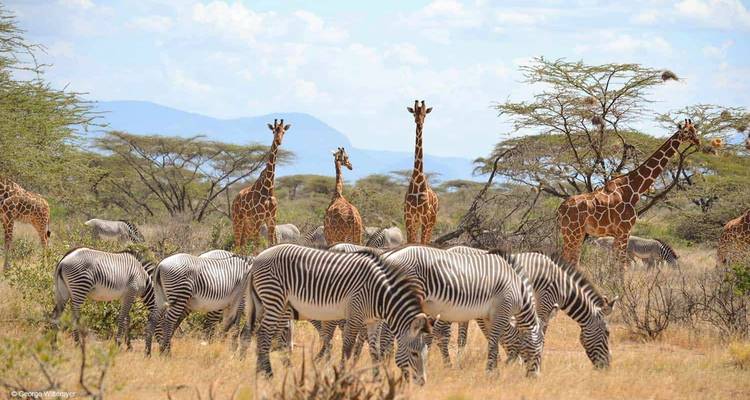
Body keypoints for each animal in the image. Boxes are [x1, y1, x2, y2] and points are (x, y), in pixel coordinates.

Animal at [238, 244, 432, 384]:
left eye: (426, 354)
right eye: (414, 354)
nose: (422, 383)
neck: (379, 294)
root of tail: (257, 259)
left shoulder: (373, 321)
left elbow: (375, 351)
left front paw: (377, 380)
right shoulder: (355, 315)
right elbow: (347, 348)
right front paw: (343, 377)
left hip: (267, 304)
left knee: (258, 334)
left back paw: (259, 372)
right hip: (274, 299)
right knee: (264, 335)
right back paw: (269, 375)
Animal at [380, 245, 545, 376]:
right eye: (540, 350)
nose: (534, 377)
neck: (519, 290)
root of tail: (389, 254)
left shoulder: (489, 316)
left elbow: (494, 341)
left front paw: (495, 369)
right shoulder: (502, 311)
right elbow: (494, 342)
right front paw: (491, 373)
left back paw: (384, 362)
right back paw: (386, 361)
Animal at [438, 249, 617, 369]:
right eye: (607, 333)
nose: (607, 366)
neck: (562, 286)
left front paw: (519, 359)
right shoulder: (544, 302)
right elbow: (539, 334)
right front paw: (530, 361)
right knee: (442, 334)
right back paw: (447, 365)